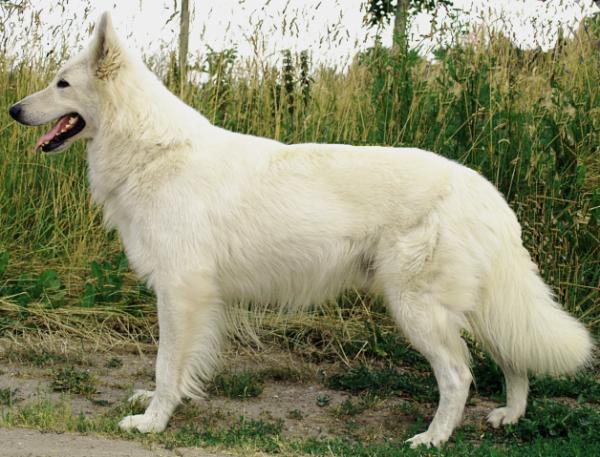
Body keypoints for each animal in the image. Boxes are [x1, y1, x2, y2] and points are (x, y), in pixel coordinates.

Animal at [10, 11, 596, 448]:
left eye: (62, 83)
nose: (14, 109)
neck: (150, 148)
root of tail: (485, 191)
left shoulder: (181, 292)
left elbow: (164, 364)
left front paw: (153, 421)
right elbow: (176, 367)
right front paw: (160, 405)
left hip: (418, 310)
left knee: (459, 376)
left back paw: (433, 437)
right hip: (474, 304)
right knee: (513, 357)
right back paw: (510, 415)